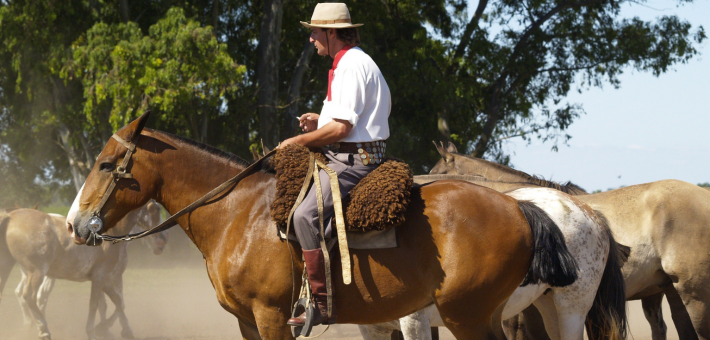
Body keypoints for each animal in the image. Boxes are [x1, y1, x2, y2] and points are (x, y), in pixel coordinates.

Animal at [0, 201, 168, 338]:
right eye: (154, 210)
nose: (163, 241)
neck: (109, 233)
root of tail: (10, 216)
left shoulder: (105, 279)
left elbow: (117, 302)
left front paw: (124, 331)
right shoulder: (101, 277)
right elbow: (96, 304)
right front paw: (95, 331)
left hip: (8, 267)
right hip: (37, 272)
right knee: (29, 296)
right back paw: (43, 331)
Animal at [64, 113, 580, 340]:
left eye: (107, 164)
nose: (73, 224)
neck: (238, 214)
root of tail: (520, 208)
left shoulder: (272, 317)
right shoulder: (247, 322)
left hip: (467, 316)